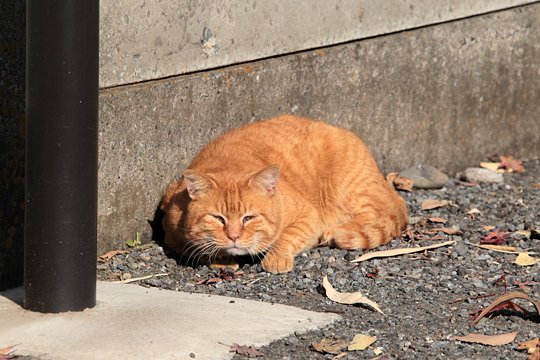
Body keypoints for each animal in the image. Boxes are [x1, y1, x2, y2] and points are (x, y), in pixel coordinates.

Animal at [160, 115, 404, 272]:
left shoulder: (309, 216)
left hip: (353, 192)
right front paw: (220, 258)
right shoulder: (170, 228)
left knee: (375, 215)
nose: (234, 236)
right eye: (218, 218)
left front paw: (275, 258)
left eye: (249, 218)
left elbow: (288, 236)